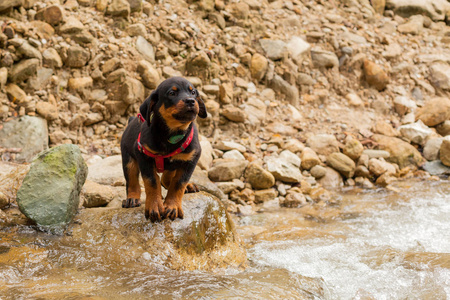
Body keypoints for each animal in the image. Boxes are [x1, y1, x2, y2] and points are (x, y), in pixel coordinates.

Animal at [120, 77, 207, 223]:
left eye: (193, 92)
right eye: (172, 93)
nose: (191, 100)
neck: (172, 135)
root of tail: (132, 120)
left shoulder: (191, 158)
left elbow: (178, 183)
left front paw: (172, 206)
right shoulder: (143, 155)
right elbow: (151, 181)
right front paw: (154, 206)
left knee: (167, 178)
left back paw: (188, 186)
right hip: (128, 159)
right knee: (132, 180)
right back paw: (132, 199)